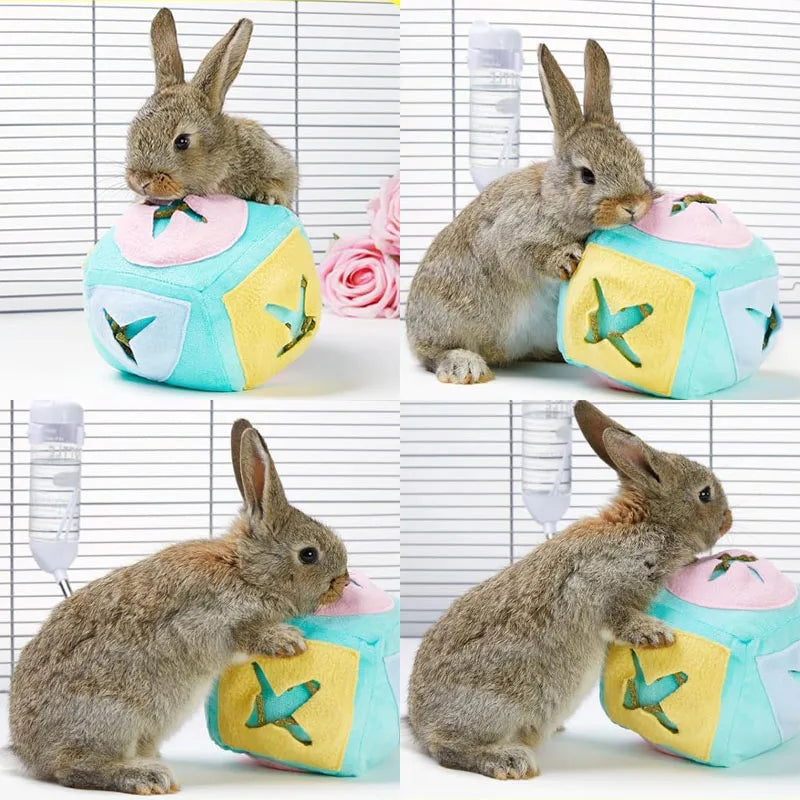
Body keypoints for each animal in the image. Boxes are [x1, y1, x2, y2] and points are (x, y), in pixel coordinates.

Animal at [9, 419, 349, 795]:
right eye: (308, 554)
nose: (344, 582)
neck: (245, 571)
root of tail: (29, 752)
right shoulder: (207, 621)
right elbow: (244, 635)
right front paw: (288, 642)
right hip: (112, 718)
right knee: (71, 767)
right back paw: (145, 776)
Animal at [125, 8, 298, 208]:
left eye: (182, 141)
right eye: (132, 130)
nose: (140, 181)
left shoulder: (277, 161)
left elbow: (283, 181)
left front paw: (268, 196)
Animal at [406, 40, 657, 384]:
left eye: (639, 162)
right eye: (587, 176)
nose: (633, 206)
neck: (551, 200)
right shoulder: (508, 238)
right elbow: (526, 256)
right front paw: (567, 258)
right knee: (431, 354)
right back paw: (465, 366)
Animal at [408, 400, 733, 780]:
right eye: (704, 494)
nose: (729, 520)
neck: (650, 525)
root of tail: (417, 726)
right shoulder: (599, 585)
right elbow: (619, 616)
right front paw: (655, 635)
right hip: (491, 709)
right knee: (446, 749)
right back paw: (508, 760)